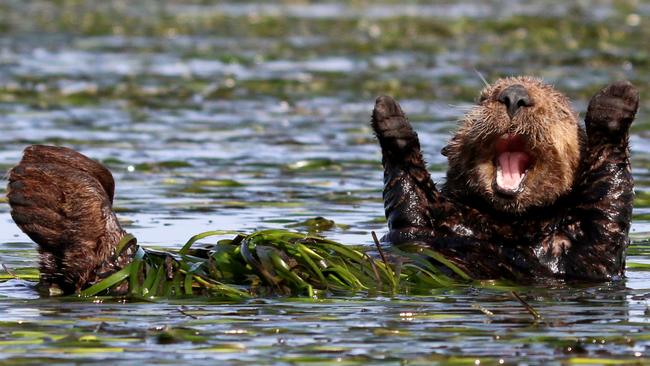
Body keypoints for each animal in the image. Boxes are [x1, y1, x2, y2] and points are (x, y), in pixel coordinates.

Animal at [372, 78, 636, 280]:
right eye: (483, 98)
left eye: (559, 110)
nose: (514, 96)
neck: (507, 225)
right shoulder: (424, 222)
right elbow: (410, 198)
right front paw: (390, 115)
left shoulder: (585, 250)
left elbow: (609, 202)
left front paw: (616, 99)